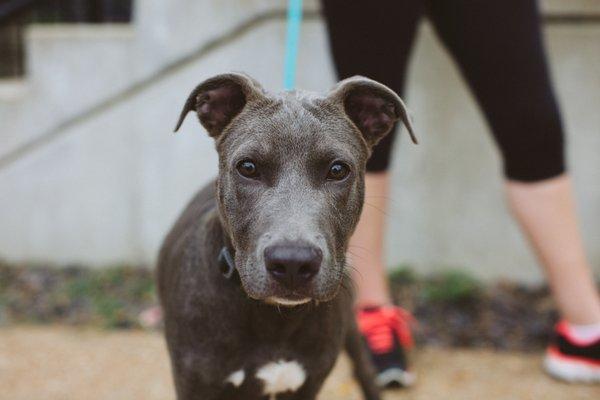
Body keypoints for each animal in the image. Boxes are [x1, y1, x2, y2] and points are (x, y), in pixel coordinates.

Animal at [157, 72, 414, 400]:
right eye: (248, 167)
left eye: (338, 169)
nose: (293, 263)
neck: (274, 320)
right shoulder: (195, 383)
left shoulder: (308, 383)